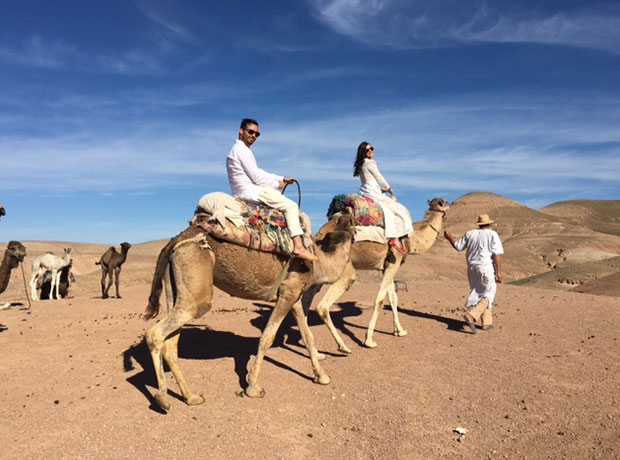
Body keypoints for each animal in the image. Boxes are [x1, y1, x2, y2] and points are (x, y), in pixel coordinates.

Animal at [141, 210, 354, 412]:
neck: (318, 261)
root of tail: (174, 241)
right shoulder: (288, 292)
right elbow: (268, 337)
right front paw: (253, 387)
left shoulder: (293, 297)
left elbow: (308, 335)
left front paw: (322, 375)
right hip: (195, 285)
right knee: (155, 334)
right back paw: (162, 398)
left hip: (176, 289)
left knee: (170, 346)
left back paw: (190, 397)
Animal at [314, 196, 450, 350]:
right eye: (444, 203)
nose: (449, 206)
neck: (412, 240)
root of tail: (320, 234)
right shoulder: (395, 260)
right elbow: (380, 299)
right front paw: (369, 340)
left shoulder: (386, 266)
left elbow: (393, 298)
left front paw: (399, 331)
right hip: (343, 267)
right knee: (323, 306)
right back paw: (342, 346)